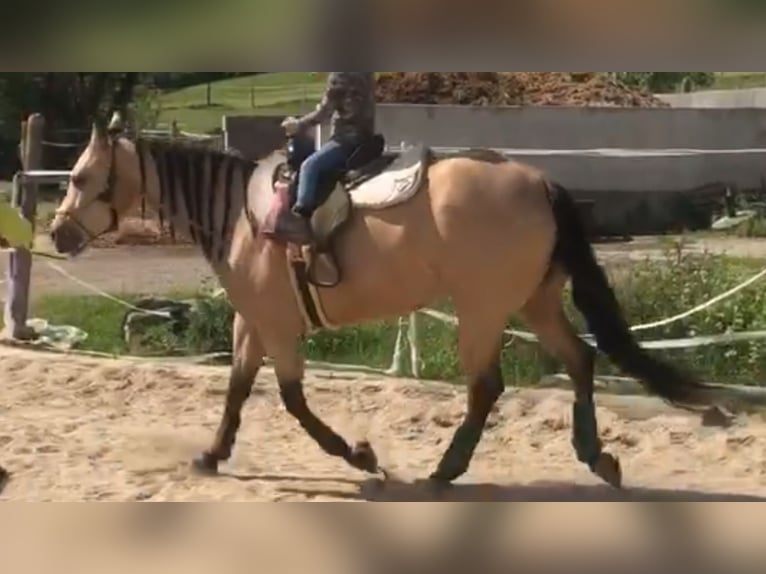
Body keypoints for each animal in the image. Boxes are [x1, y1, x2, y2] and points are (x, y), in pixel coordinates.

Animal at [49, 118, 720, 496]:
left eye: (80, 178)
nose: (57, 234)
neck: (240, 216)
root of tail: (538, 182)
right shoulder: (253, 322)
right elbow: (237, 390)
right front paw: (211, 456)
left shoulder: (277, 326)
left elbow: (292, 401)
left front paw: (361, 456)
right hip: (533, 302)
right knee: (580, 362)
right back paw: (595, 457)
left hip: (481, 309)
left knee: (486, 388)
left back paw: (446, 471)